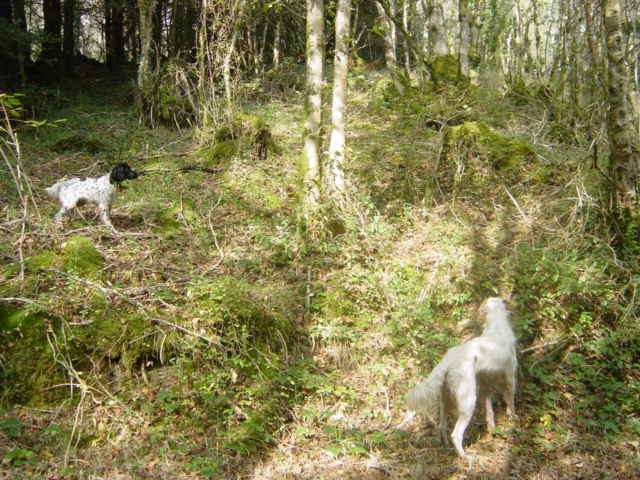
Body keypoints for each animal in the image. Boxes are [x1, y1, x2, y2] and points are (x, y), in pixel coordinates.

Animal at [408, 296, 516, 458]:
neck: (496, 325)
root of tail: (449, 358)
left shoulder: (486, 387)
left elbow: (490, 412)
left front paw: (492, 429)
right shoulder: (510, 376)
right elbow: (510, 399)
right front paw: (513, 417)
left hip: (445, 401)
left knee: (442, 426)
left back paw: (446, 446)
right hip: (467, 402)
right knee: (456, 434)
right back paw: (465, 457)